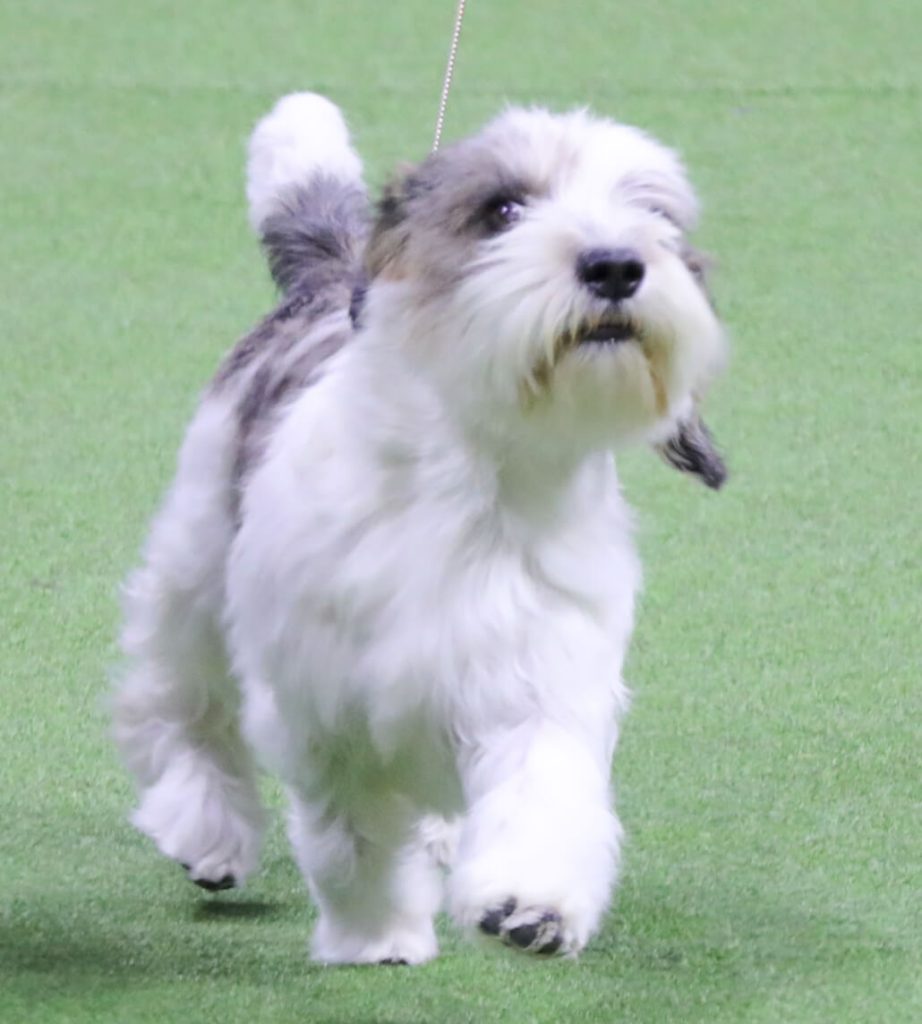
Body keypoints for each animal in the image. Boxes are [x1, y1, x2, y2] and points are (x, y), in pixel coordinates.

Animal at [113, 92, 729, 962]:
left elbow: (542, 789)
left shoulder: (537, 676)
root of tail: (329, 276)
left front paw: (530, 904)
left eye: (655, 217)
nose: (616, 265)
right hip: (195, 568)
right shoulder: (325, 711)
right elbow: (354, 837)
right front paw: (377, 934)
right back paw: (207, 828)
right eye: (503, 209)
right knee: (178, 704)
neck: (477, 483)